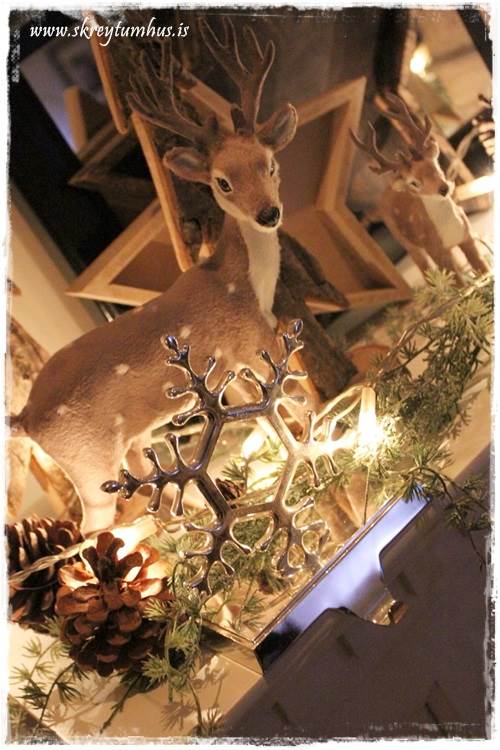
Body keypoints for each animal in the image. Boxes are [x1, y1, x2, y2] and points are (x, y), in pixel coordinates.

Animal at [8, 18, 306, 535]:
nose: (268, 214)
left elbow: (265, 411)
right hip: (89, 460)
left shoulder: (229, 368)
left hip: (129, 446)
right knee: (94, 528)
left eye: (269, 163)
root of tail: (24, 417)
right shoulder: (249, 339)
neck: (243, 284)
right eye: (222, 182)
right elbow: (292, 399)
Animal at [351, 93, 489, 282]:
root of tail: (381, 201)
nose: (443, 189)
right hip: (406, 241)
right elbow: (457, 283)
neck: (449, 230)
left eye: (435, 164)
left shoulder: (467, 235)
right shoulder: (434, 248)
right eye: (414, 183)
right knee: (424, 269)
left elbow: (483, 269)